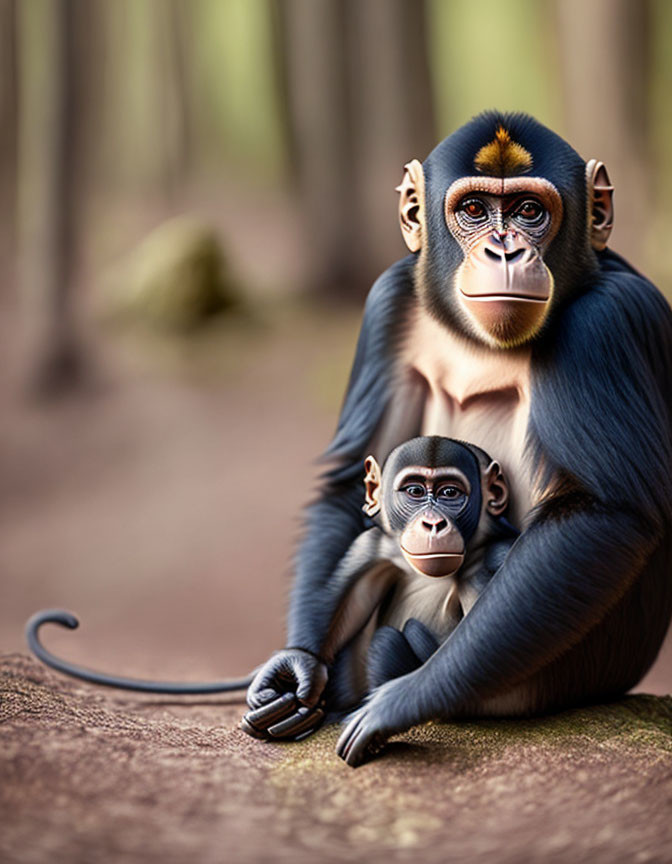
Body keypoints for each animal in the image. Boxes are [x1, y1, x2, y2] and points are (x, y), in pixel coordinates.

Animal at [243, 438, 520, 756]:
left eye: (450, 492)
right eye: (415, 491)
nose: (433, 523)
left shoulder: (494, 556)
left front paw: (386, 711)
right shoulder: (376, 545)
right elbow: (355, 597)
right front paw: (298, 665)